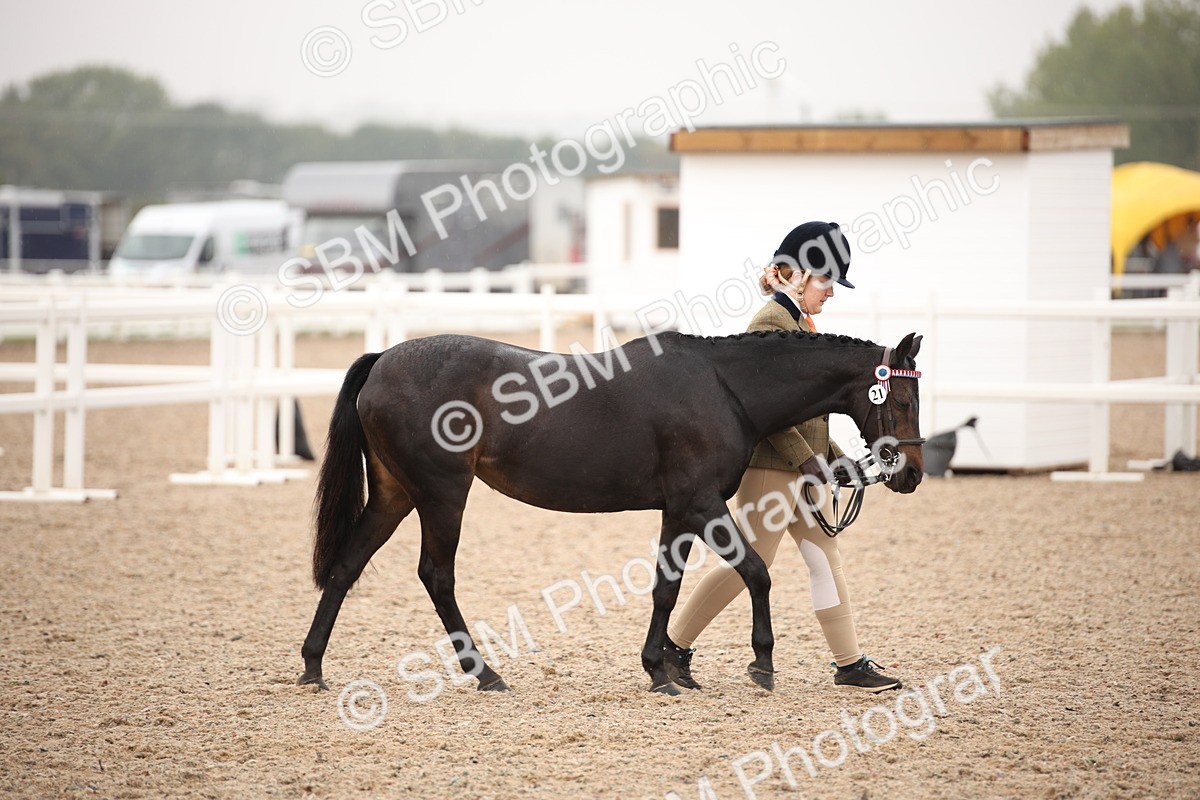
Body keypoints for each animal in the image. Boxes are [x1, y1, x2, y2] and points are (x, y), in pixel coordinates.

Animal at [298, 329, 924, 695]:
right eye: (901, 397)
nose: (912, 473)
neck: (724, 386)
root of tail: (384, 359)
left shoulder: (679, 510)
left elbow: (667, 589)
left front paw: (661, 670)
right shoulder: (702, 503)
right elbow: (755, 572)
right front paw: (762, 664)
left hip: (395, 493)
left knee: (347, 565)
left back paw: (312, 665)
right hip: (441, 493)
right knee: (436, 575)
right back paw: (486, 674)